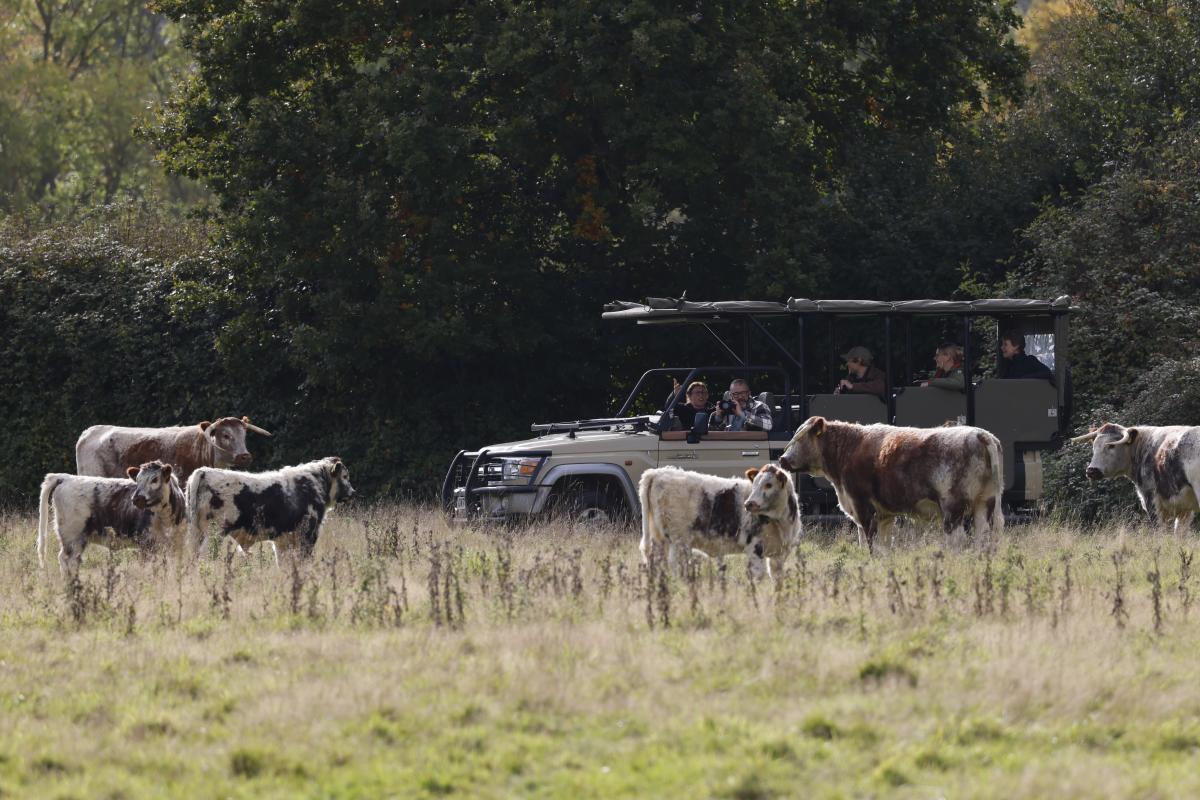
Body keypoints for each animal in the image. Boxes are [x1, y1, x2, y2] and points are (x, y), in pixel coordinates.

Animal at [37, 461, 186, 580]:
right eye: (137, 480)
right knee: (69, 561)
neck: (165, 519)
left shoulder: (177, 545)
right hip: (74, 537)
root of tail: (65, 477)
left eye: (155, 479)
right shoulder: (146, 544)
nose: (136, 498)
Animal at [185, 457, 356, 562]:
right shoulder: (307, 535)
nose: (353, 492)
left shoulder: (283, 540)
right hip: (215, 533)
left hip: (198, 532)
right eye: (345, 476)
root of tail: (204, 471)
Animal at [638, 464, 802, 579]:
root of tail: (657, 473)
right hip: (679, 540)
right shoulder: (755, 548)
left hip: (659, 538)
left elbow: (777, 578)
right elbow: (758, 575)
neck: (781, 523)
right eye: (754, 484)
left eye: (769, 484)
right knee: (676, 565)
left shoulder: (779, 555)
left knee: (657, 562)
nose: (749, 504)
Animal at [779, 417, 1004, 552]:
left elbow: (870, 543)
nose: (782, 459)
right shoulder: (884, 514)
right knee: (982, 539)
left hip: (953, 508)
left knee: (957, 541)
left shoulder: (863, 506)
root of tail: (980, 435)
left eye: (801, 439)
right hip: (985, 503)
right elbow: (884, 546)